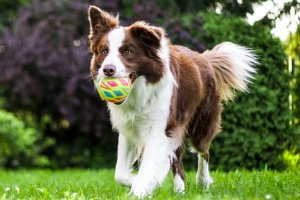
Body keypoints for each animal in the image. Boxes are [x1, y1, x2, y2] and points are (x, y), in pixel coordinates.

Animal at [88, 5, 256, 198]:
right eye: (104, 51)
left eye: (128, 52)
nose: (108, 70)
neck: (139, 92)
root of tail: (205, 58)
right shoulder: (129, 129)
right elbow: (120, 174)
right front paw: (140, 182)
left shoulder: (160, 129)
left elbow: (149, 166)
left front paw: (141, 189)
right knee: (178, 163)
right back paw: (180, 191)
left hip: (201, 123)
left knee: (203, 151)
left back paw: (203, 182)